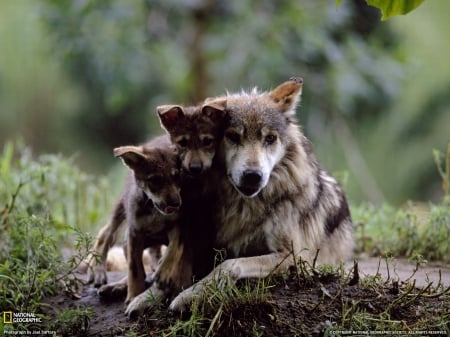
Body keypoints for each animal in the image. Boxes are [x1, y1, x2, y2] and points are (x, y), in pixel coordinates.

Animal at [169, 78, 356, 310]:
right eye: (233, 136)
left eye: (270, 138)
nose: (252, 176)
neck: (247, 206)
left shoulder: (296, 257)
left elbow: (229, 265)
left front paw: (188, 295)